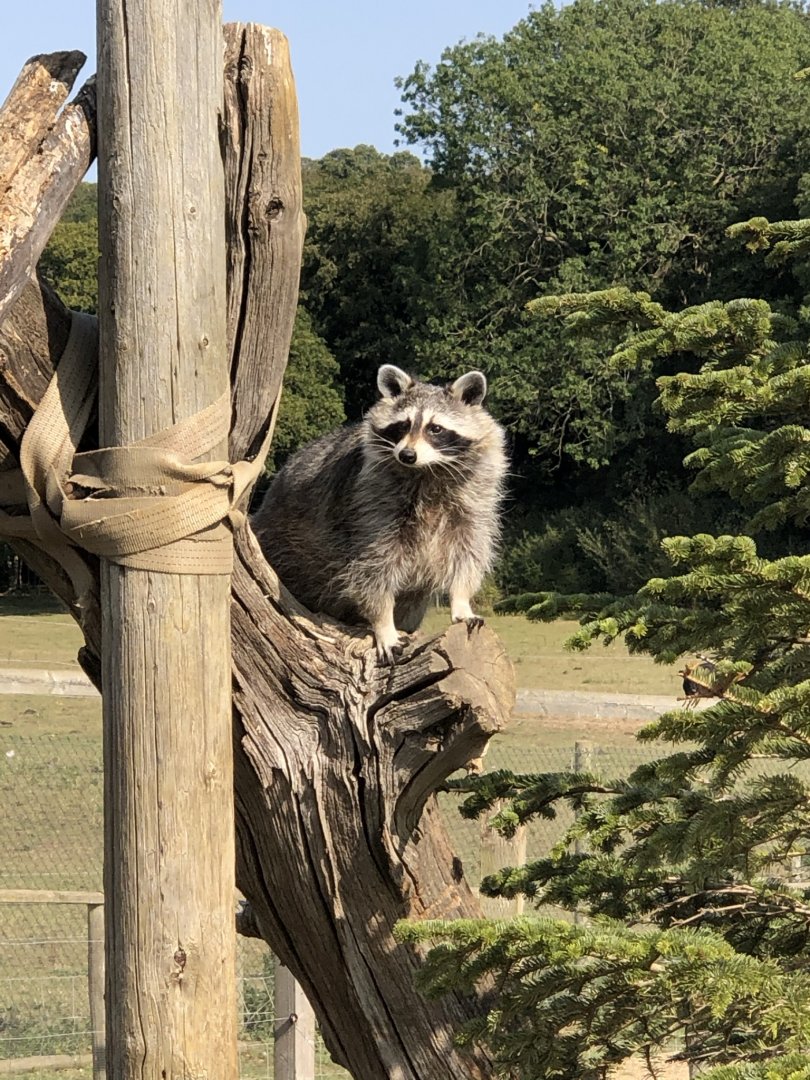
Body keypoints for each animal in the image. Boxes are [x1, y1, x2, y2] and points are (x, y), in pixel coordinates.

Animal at [252, 364, 507, 662]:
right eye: (403, 425)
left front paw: (461, 602)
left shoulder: (474, 498)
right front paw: (384, 624)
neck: (426, 471)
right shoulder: (369, 503)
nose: (407, 455)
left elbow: (468, 551)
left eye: (436, 428)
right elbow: (373, 569)